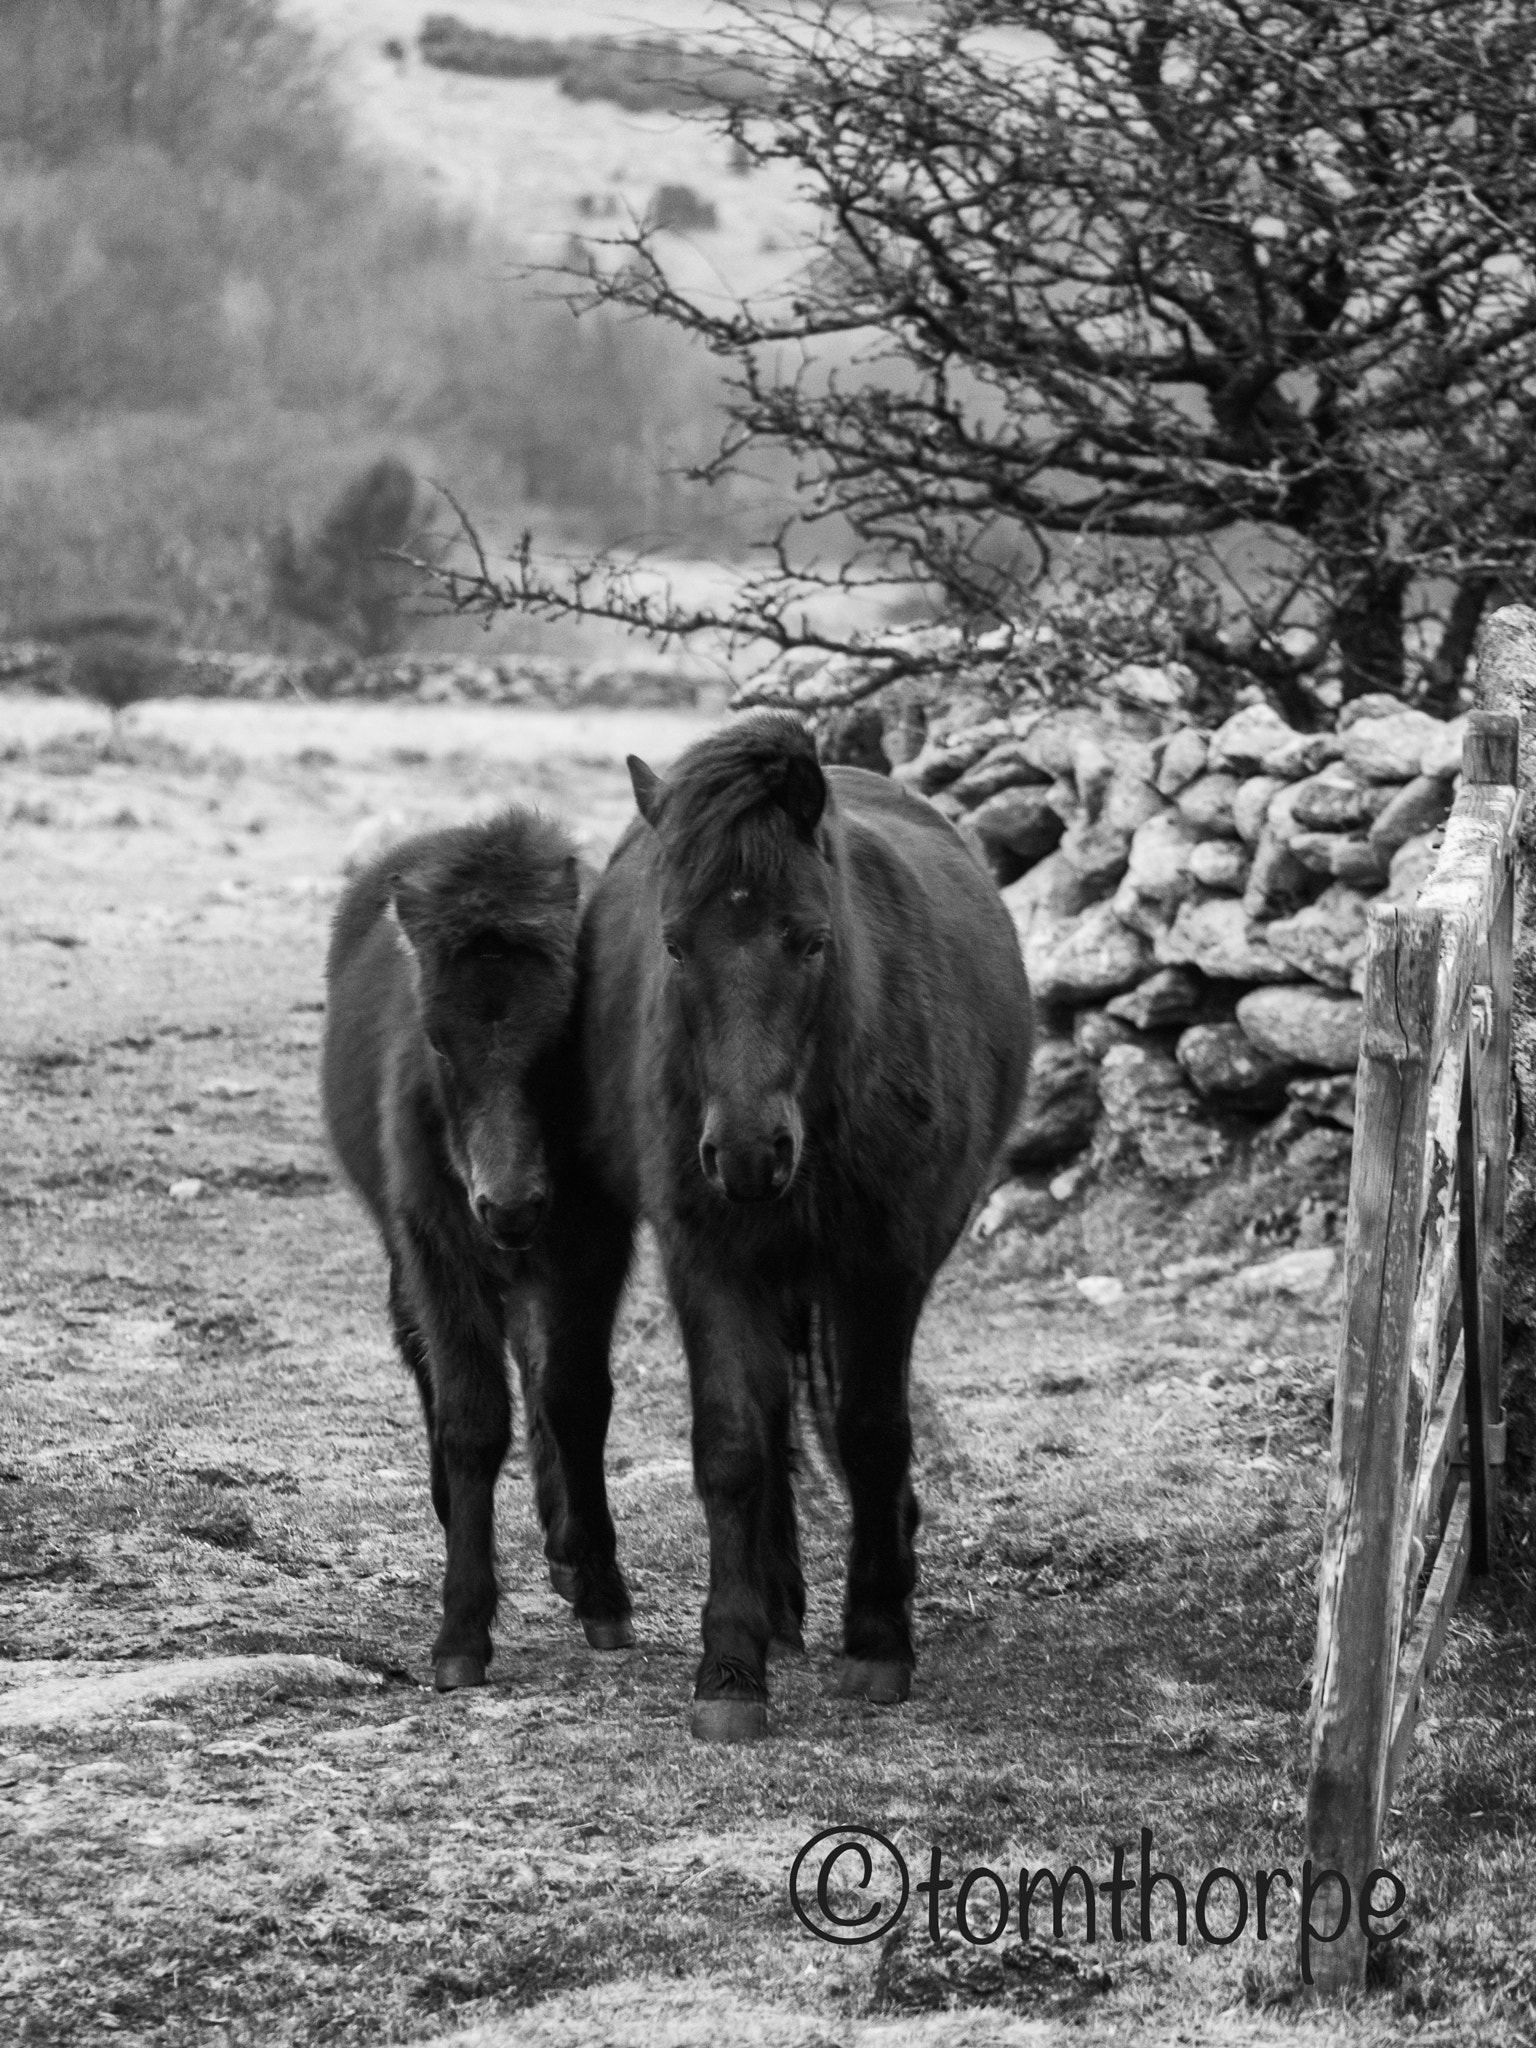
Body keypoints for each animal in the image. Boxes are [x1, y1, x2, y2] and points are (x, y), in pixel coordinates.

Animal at [321, 806, 634, 1687]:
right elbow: (472, 1417)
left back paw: (562, 1549)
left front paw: (600, 1588)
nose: (510, 1206)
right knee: (419, 1346)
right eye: (435, 1039)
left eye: (561, 1032)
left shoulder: (592, 1249)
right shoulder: (439, 1246)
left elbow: (574, 1399)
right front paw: (461, 1631)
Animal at [540, 712, 1036, 1736]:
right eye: (675, 946)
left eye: (809, 942)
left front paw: (879, 1640)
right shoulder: (710, 1260)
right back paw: (754, 1605)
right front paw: (731, 1668)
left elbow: (874, 1434)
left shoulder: (885, 1266)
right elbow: (733, 1446)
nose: (745, 1154)